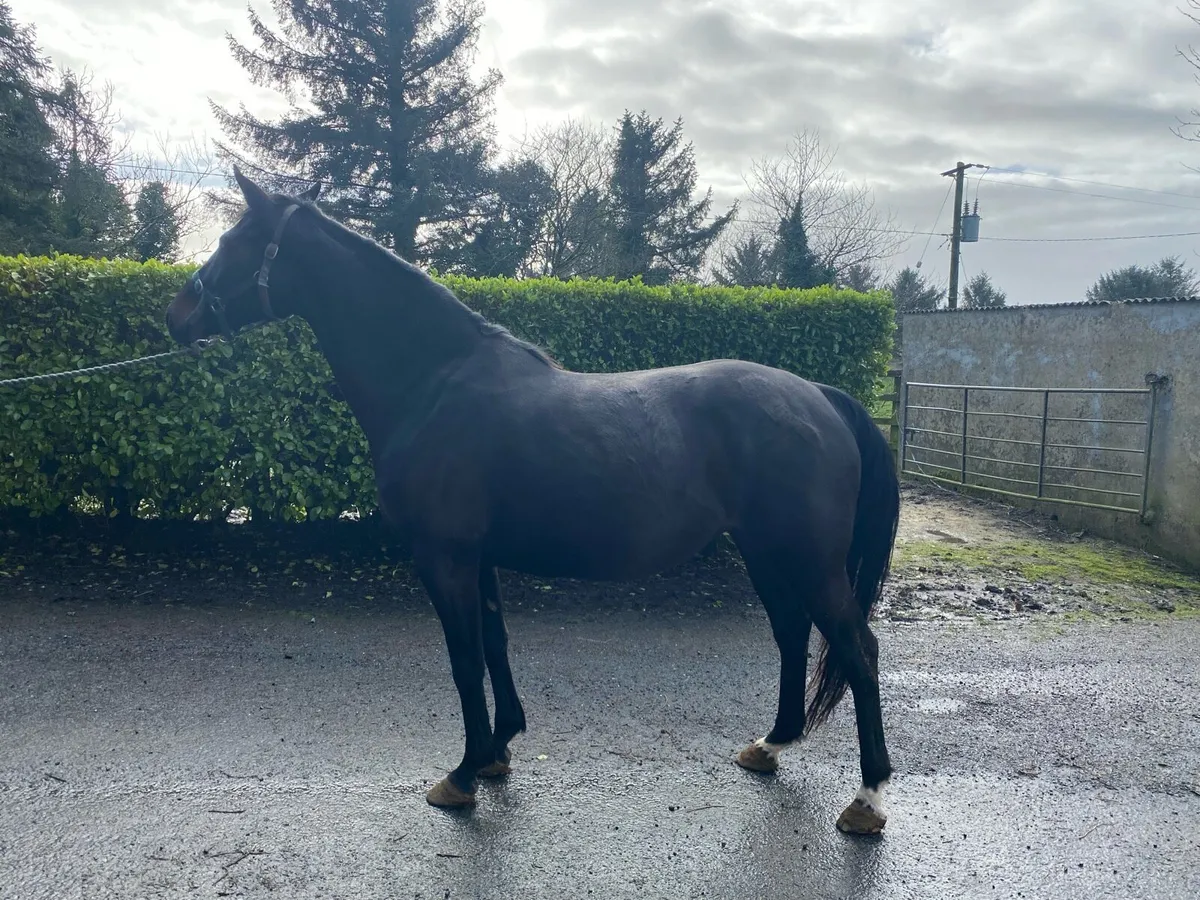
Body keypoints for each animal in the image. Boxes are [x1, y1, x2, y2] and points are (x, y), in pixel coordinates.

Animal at [164, 169, 901, 835]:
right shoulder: (478, 557)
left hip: (806, 558)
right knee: (792, 632)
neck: (433, 383)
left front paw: (462, 775)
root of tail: (819, 396)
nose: (177, 316)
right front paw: (497, 752)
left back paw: (867, 799)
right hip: (765, 552)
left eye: (233, 240)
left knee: (857, 648)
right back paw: (771, 745)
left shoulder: (444, 557)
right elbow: (494, 643)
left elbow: (464, 660)